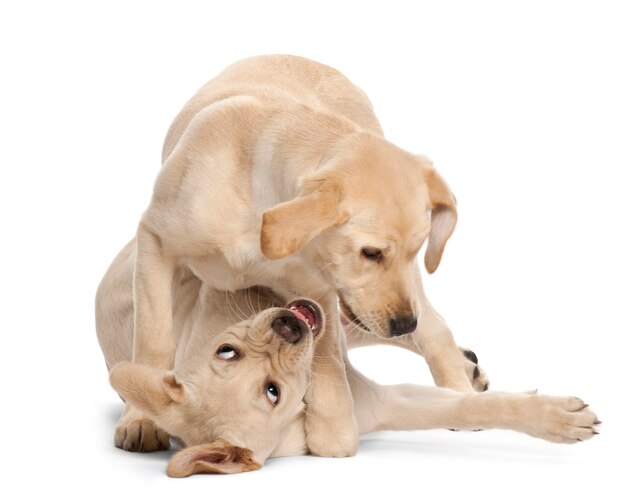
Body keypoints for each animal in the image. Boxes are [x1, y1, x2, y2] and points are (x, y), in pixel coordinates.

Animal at [95, 242, 596, 476]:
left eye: (226, 350)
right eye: (272, 393)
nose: (288, 327)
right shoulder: (384, 405)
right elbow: (469, 409)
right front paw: (560, 419)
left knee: (405, 319)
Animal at [112, 53, 482, 458]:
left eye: (417, 249)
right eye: (371, 253)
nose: (403, 323)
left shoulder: (318, 292)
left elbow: (327, 362)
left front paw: (331, 428)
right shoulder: (156, 244)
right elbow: (153, 341)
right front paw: (141, 419)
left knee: (433, 327)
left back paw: (461, 388)